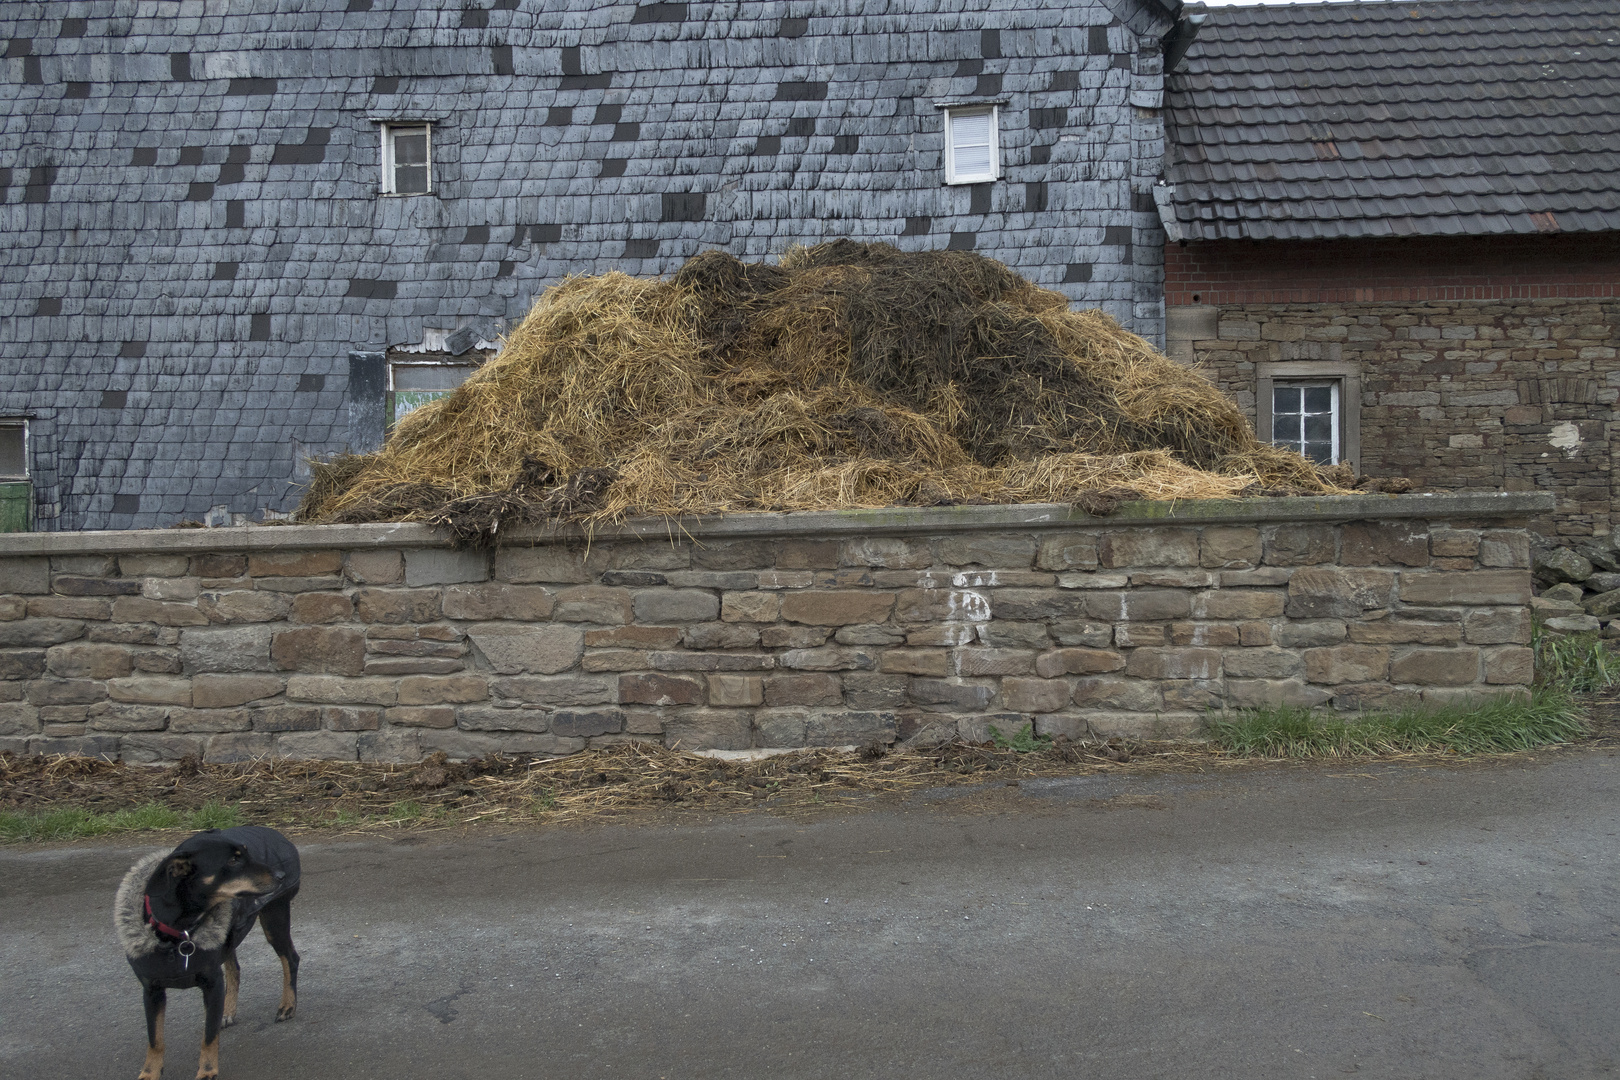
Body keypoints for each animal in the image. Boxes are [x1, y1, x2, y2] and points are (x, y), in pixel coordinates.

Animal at [117, 835, 304, 1075]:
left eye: (246, 853)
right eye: (233, 860)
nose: (281, 875)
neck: (180, 933)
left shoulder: (212, 983)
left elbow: (208, 1037)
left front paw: (207, 1072)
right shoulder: (152, 990)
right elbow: (155, 1039)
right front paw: (149, 1073)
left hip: (274, 917)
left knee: (290, 958)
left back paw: (287, 1005)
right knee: (235, 967)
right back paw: (228, 1010)